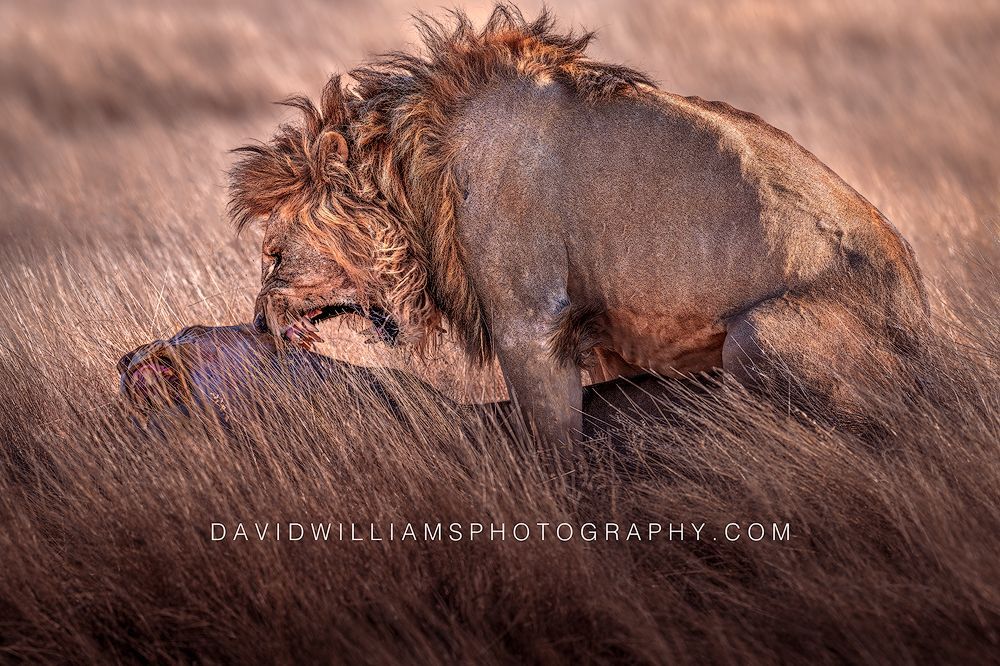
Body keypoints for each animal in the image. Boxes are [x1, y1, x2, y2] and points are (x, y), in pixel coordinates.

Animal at [228, 5, 928, 443]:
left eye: (275, 255)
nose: (259, 321)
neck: (414, 171)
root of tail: (928, 335)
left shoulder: (531, 322)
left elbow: (554, 450)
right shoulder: (615, 340)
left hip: (757, 338)